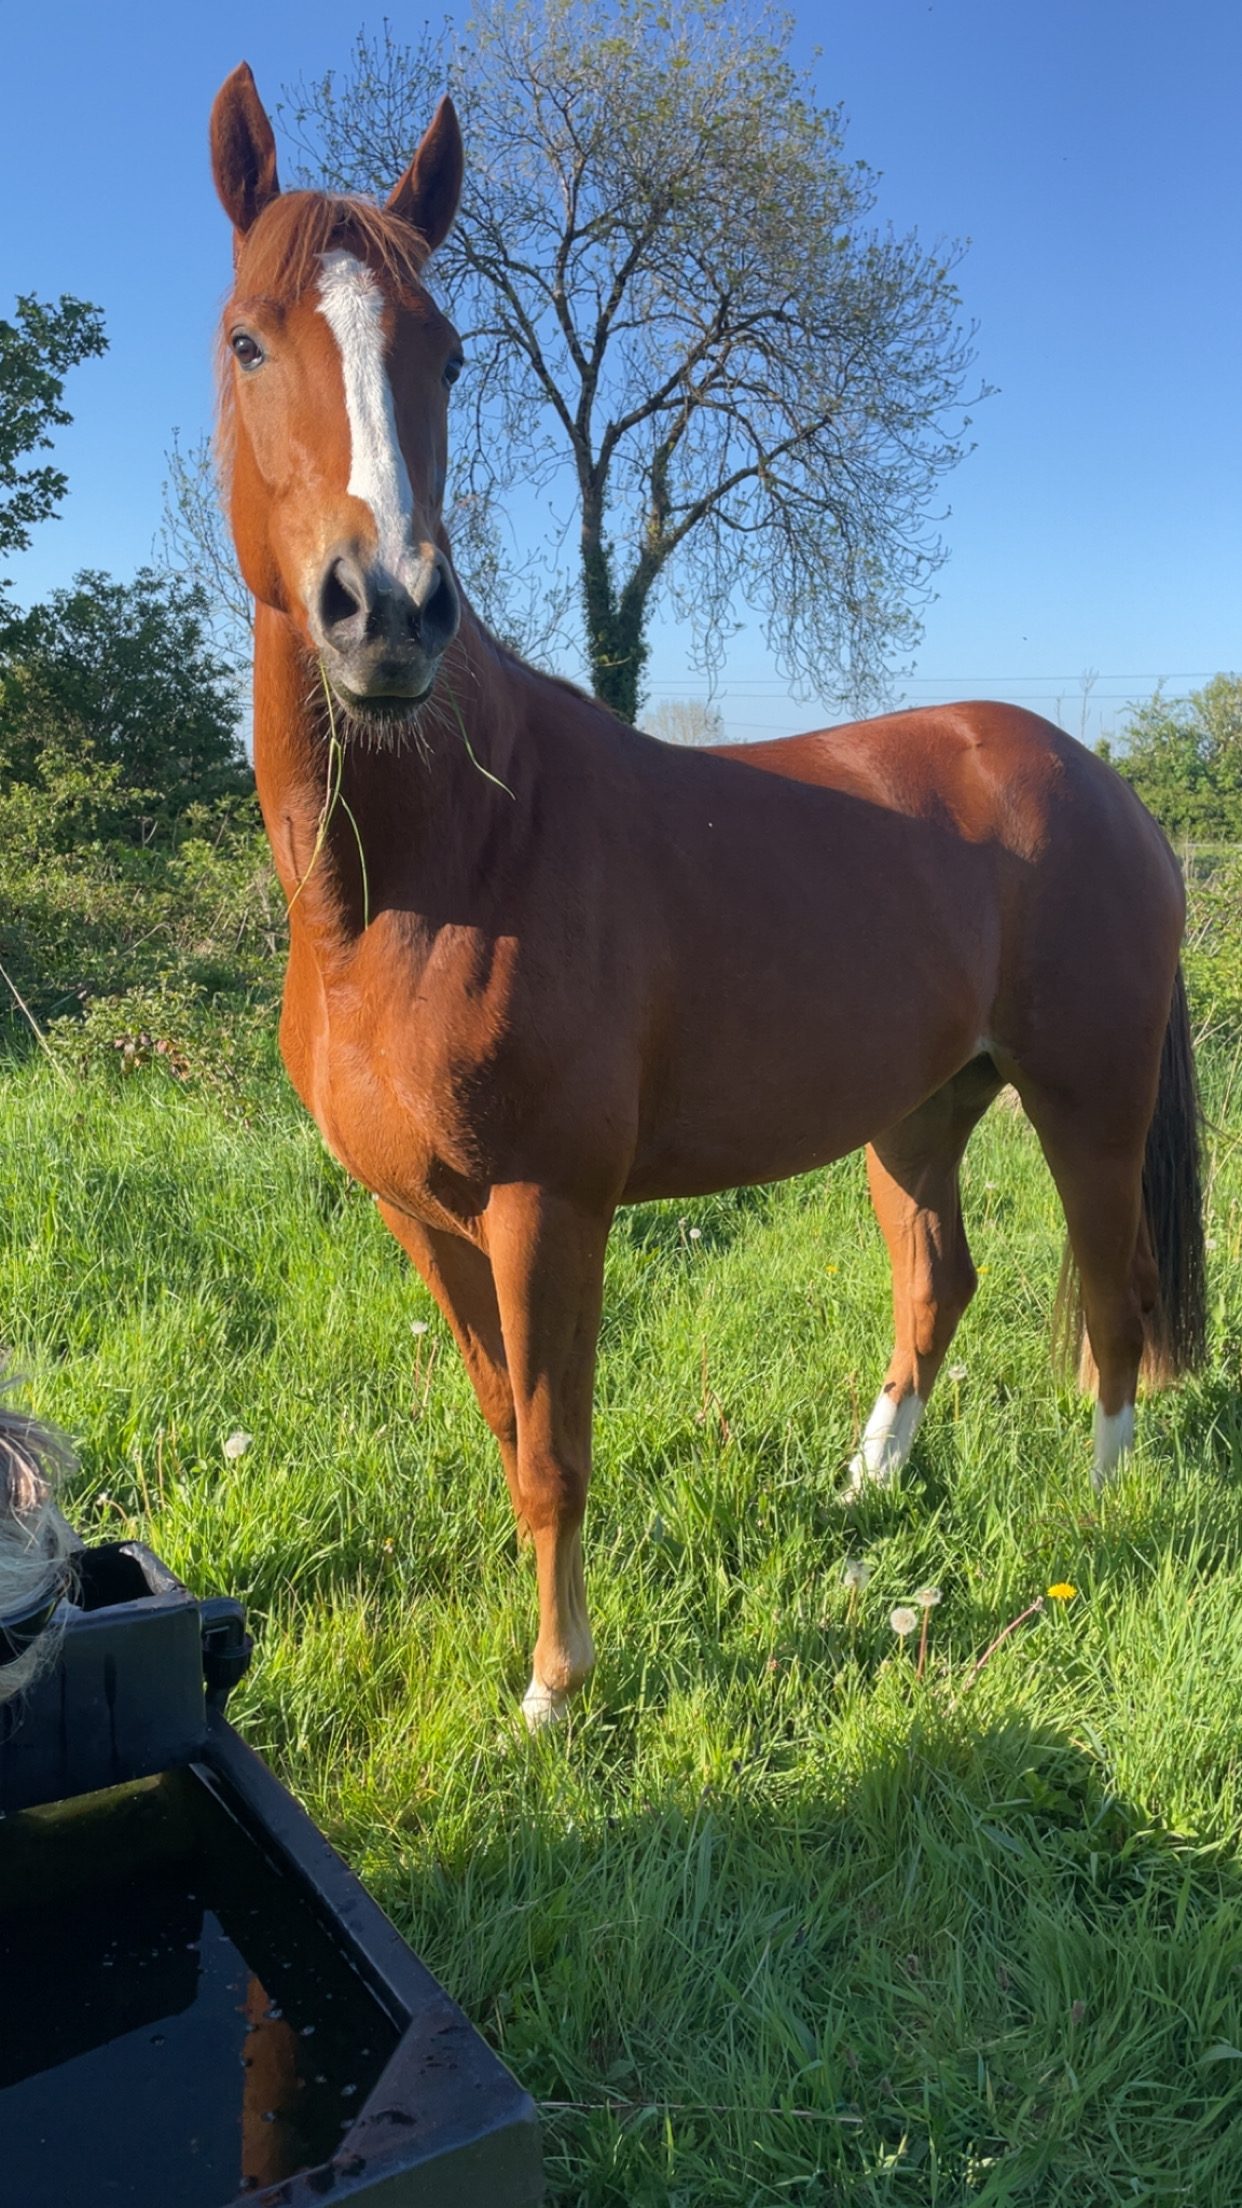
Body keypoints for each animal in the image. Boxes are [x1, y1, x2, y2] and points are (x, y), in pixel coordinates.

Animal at [209, 64, 1205, 1726]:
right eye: (246, 338)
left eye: (447, 351)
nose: (388, 612)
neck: (430, 875)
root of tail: (1103, 784)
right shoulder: (423, 1217)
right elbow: (504, 1427)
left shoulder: (548, 1204)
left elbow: (554, 1453)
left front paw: (556, 1693)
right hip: (917, 1107)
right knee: (938, 1279)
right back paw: (868, 1487)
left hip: (1087, 1095)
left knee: (1111, 1294)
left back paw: (1098, 1507)